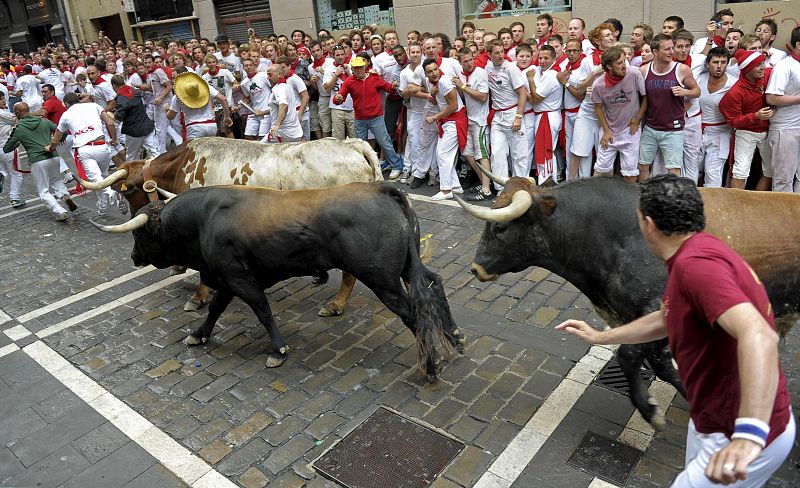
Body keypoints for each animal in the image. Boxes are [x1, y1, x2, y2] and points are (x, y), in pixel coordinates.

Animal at [98, 183, 462, 382]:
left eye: (139, 234)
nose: (133, 256)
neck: (205, 219)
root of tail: (382, 188)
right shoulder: (226, 279)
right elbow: (215, 309)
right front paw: (198, 335)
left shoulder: (238, 278)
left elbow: (261, 310)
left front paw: (278, 350)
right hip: (407, 267)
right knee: (434, 284)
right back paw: (455, 337)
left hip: (382, 278)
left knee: (414, 315)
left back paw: (431, 367)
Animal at [456, 173, 800, 428]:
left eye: (500, 226)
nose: (475, 268)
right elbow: (661, 364)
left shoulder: (656, 307)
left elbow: (629, 355)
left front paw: (650, 410)